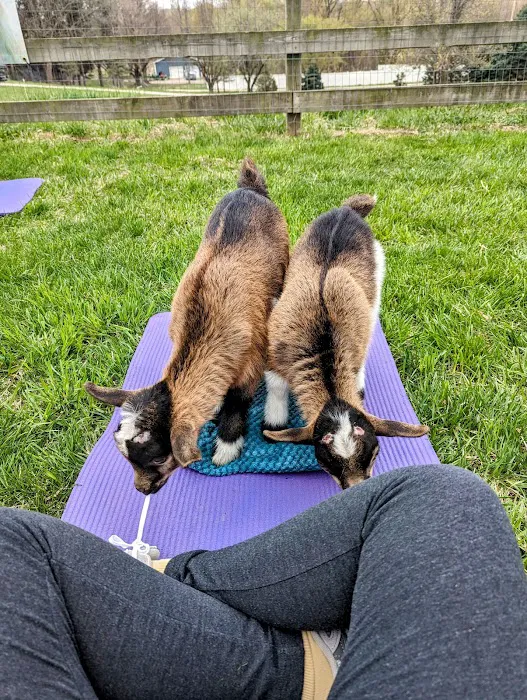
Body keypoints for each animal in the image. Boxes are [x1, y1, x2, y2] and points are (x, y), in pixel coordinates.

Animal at [86, 159, 289, 494]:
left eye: (158, 457)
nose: (142, 489)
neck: (204, 322)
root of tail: (250, 188)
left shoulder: (251, 363)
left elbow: (237, 404)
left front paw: (225, 449)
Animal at [263, 194, 428, 488]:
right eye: (325, 462)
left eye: (375, 454)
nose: (357, 488)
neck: (324, 354)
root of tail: (347, 210)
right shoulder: (275, 353)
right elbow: (277, 386)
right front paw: (274, 422)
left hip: (377, 276)